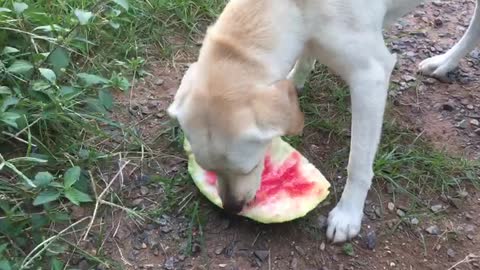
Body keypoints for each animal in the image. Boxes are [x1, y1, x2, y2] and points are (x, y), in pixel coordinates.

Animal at [168, 0, 480, 243]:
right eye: (208, 169)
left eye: (250, 166)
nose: (231, 209)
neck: (293, 7)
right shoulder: (309, 39)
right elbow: (304, 61)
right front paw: (295, 85)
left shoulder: (370, 76)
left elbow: (358, 163)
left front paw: (347, 215)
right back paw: (445, 63)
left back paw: (446, 61)